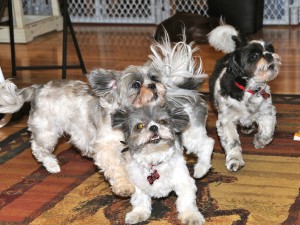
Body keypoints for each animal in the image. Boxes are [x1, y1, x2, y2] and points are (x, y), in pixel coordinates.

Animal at [0, 69, 165, 196]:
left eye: (153, 78)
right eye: (136, 85)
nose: (153, 85)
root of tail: (38, 88)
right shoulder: (107, 148)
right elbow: (117, 168)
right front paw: (124, 186)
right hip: (47, 131)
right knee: (37, 148)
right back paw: (52, 165)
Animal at [207, 23, 282, 171]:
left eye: (270, 49)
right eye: (255, 56)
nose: (269, 54)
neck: (250, 90)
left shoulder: (267, 112)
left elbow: (268, 133)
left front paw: (259, 141)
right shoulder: (226, 120)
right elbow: (232, 142)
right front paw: (234, 160)